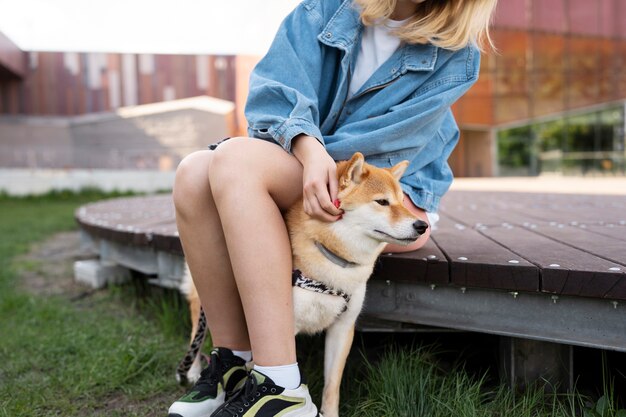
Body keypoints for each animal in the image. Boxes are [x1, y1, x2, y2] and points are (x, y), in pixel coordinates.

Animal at [178, 152, 426, 416]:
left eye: (402, 201)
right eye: (382, 202)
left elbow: (332, 386)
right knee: (198, 327)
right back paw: (193, 371)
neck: (333, 261)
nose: (422, 225)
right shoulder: (282, 325)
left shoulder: (342, 328)